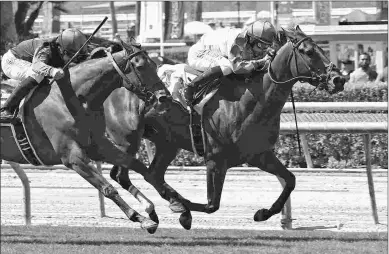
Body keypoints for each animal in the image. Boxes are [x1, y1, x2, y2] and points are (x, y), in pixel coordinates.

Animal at [1, 40, 168, 233]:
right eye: (140, 66)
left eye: (154, 65)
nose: (163, 97)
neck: (72, 98)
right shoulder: (72, 157)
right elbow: (107, 188)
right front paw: (140, 218)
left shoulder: (97, 146)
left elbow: (138, 166)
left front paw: (165, 207)